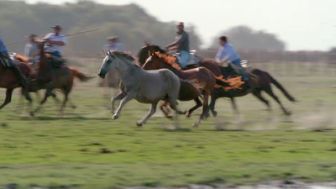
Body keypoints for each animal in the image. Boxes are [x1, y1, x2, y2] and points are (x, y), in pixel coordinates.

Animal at [138, 44, 296, 116]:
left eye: (149, 60)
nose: (141, 68)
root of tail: (264, 72)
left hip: (266, 88)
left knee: (275, 98)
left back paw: (286, 113)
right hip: (257, 92)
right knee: (268, 101)